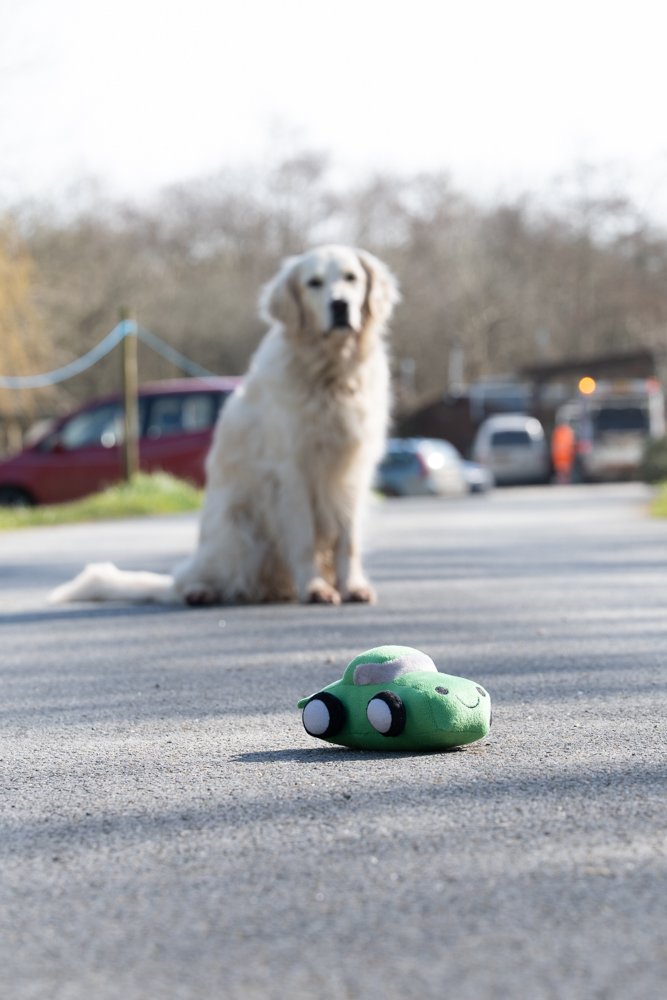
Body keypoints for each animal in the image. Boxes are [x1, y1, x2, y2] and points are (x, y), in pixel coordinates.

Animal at [52, 246, 400, 604]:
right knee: (195, 581)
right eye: (314, 283)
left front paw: (353, 586)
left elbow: (348, 540)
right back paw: (201, 591)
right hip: (237, 526)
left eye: (351, 278)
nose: (340, 305)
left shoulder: (354, 470)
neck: (331, 372)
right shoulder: (291, 470)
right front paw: (315, 587)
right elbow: (303, 538)